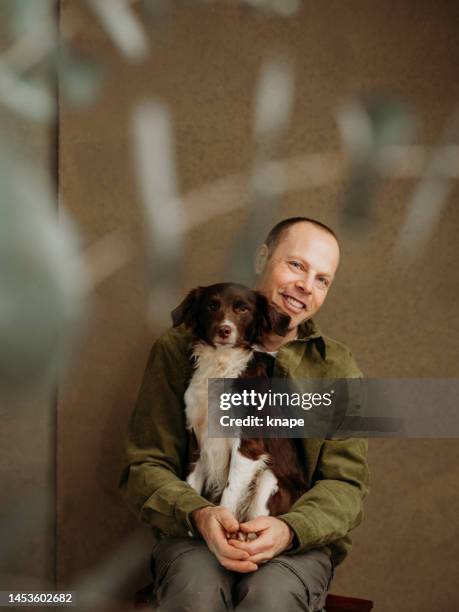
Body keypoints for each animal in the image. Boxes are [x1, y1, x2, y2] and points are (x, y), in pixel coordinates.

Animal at [172, 282, 310, 536]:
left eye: (243, 309)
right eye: (211, 305)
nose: (224, 330)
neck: (221, 365)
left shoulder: (248, 445)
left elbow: (229, 494)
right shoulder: (196, 437)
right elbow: (191, 484)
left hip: (269, 479)